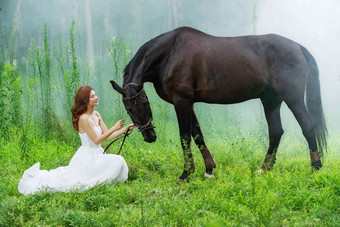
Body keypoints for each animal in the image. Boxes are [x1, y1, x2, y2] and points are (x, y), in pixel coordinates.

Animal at [111, 26, 326, 181]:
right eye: (129, 109)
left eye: (144, 103)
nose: (150, 137)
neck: (170, 53)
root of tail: (297, 46)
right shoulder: (189, 103)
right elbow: (198, 135)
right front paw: (209, 169)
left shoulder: (181, 101)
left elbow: (185, 136)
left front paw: (186, 173)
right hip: (271, 100)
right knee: (276, 132)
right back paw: (265, 169)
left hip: (292, 97)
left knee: (307, 126)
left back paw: (316, 167)